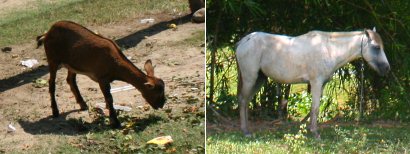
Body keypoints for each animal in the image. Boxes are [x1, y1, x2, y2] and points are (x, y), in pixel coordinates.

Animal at [36, 21, 166, 128]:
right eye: (157, 93)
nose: (162, 104)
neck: (115, 63)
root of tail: (47, 33)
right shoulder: (102, 78)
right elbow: (109, 98)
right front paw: (115, 121)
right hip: (52, 59)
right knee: (52, 83)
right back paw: (55, 111)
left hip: (72, 64)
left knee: (70, 80)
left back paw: (83, 104)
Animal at [235, 28, 390, 138]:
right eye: (376, 47)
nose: (387, 68)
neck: (329, 49)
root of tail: (244, 41)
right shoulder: (316, 83)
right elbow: (315, 108)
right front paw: (315, 133)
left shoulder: (321, 85)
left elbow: (314, 108)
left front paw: (309, 128)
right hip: (250, 78)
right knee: (242, 100)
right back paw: (245, 131)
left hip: (259, 79)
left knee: (246, 101)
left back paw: (246, 128)